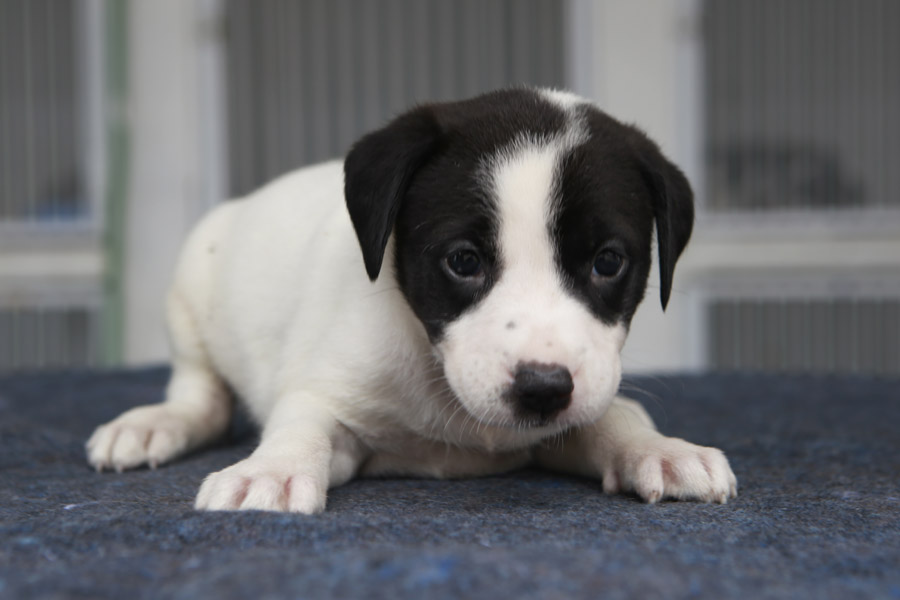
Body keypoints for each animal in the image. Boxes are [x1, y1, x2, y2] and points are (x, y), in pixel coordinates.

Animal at [86, 88, 740, 510]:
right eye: (463, 261)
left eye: (608, 262)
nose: (543, 389)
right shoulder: (328, 394)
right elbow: (300, 425)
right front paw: (269, 470)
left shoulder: (571, 413)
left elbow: (615, 414)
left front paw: (657, 449)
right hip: (190, 295)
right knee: (201, 396)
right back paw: (155, 424)